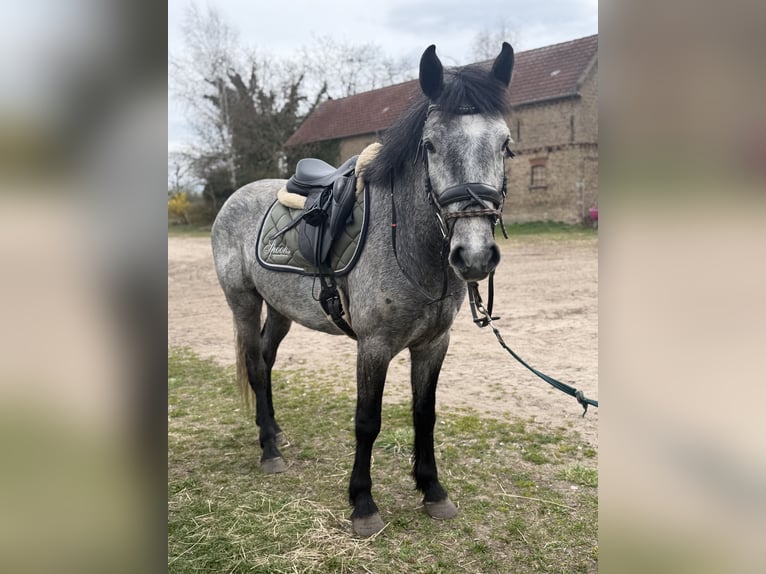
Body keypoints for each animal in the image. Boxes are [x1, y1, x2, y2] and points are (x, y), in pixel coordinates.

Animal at [211, 42, 515, 537]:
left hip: (280, 309)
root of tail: (237, 195)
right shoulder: (373, 346)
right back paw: (269, 451)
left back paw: (273, 432)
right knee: (256, 365)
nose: (473, 256)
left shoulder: (434, 344)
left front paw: (433, 491)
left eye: (505, 144)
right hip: (243, 301)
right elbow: (367, 421)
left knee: (267, 359)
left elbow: (425, 414)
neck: (410, 246)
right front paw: (363, 503)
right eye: (430, 145)